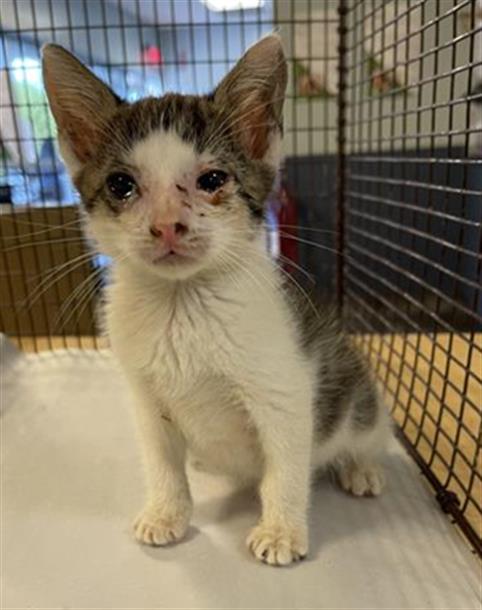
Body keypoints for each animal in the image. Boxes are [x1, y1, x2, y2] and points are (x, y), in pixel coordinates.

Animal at [40, 36, 388, 564]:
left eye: (212, 180)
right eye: (121, 184)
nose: (167, 224)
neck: (182, 303)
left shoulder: (285, 390)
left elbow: (285, 467)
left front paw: (281, 531)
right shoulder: (144, 396)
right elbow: (161, 461)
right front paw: (166, 512)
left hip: (355, 395)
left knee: (368, 430)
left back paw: (360, 467)